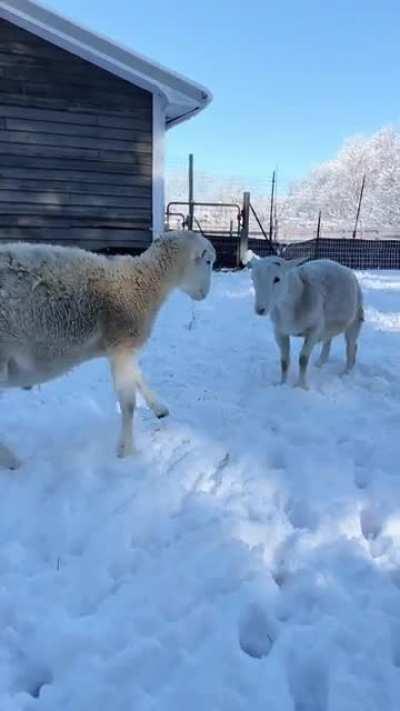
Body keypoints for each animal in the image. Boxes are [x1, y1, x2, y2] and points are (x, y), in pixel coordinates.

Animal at [0, 231, 216, 469]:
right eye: (208, 262)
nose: (205, 294)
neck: (145, 281)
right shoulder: (122, 345)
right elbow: (128, 404)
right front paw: (126, 451)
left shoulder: (120, 349)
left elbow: (138, 377)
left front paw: (159, 408)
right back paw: (11, 461)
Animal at [247, 253, 364, 389]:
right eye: (253, 278)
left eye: (277, 279)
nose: (260, 309)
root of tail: (341, 265)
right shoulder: (279, 331)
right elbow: (284, 361)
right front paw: (282, 384)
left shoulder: (314, 330)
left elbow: (303, 359)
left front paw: (301, 386)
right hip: (328, 325)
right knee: (328, 341)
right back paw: (320, 363)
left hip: (355, 318)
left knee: (351, 347)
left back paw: (346, 372)